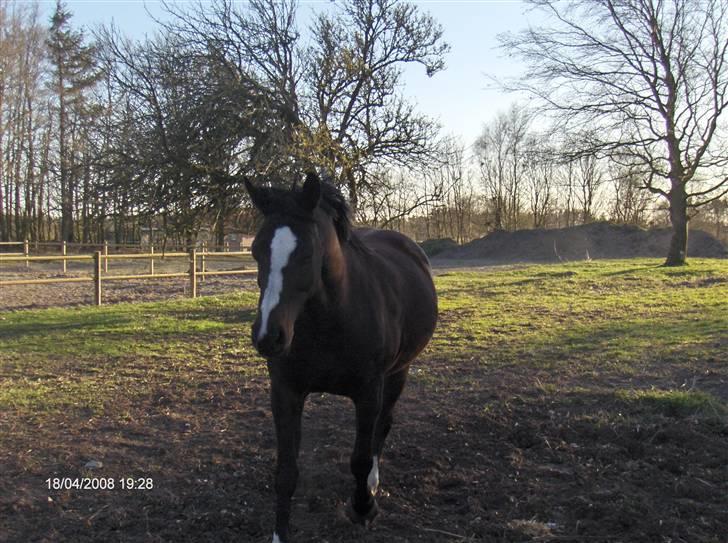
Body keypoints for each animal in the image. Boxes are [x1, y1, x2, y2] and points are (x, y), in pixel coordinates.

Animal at [245, 173, 438, 543]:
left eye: (307, 252)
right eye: (256, 250)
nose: (268, 336)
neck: (330, 322)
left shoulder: (368, 392)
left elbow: (360, 459)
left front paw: (363, 508)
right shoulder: (286, 393)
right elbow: (286, 472)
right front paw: (279, 534)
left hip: (398, 373)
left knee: (382, 427)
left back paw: (373, 486)